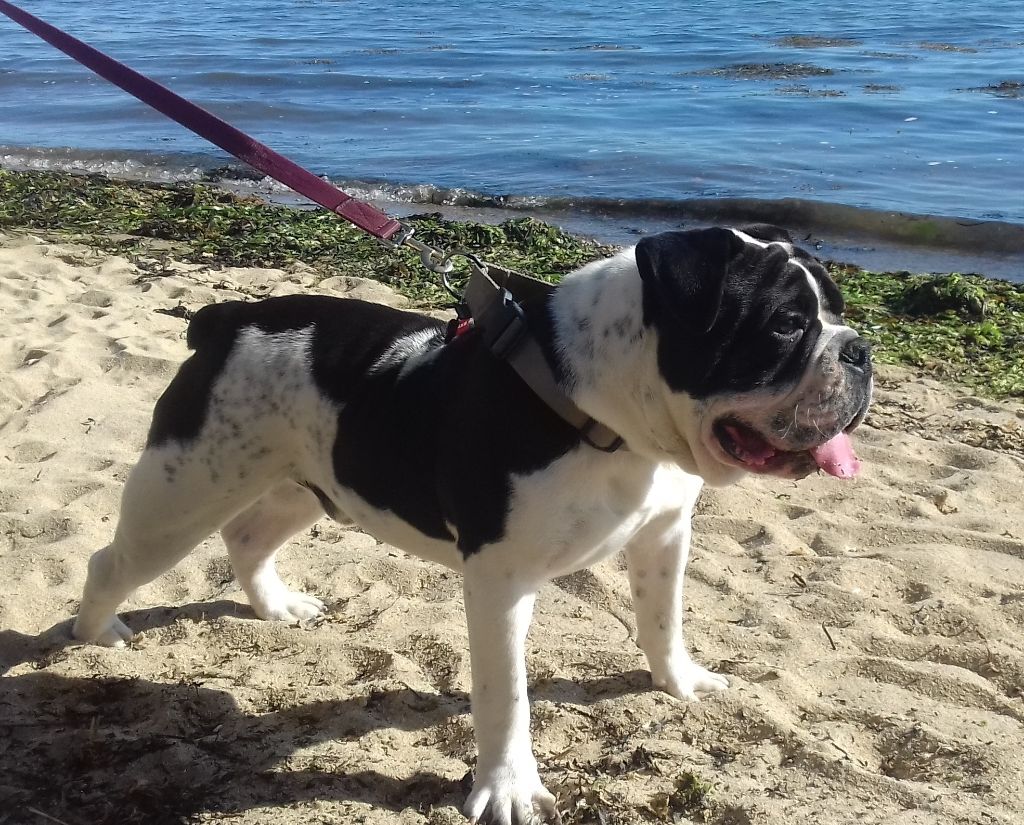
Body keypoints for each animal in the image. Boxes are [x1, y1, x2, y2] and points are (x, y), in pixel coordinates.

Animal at [72, 224, 872, 824]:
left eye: (835, 312)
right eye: (786, 326)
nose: (860, 349)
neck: (604, 412)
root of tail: (230, 317)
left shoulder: (666, 532)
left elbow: (663, 617)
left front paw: (680, 681)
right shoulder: (501, 582)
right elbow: (505, 694)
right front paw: (509, 787)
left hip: (315, 484)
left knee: (248, 536)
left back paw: (276, 606)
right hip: (182, 495)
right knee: (114, 560)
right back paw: (94, 631)